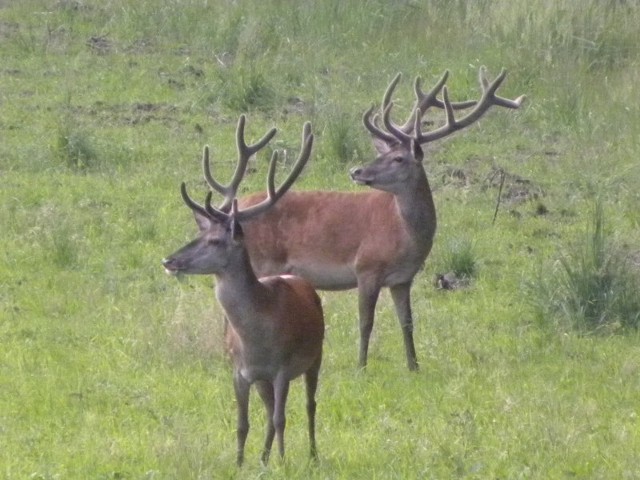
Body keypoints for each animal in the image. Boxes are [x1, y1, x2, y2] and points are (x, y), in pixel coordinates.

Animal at [160, 120, 322, 464]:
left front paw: (284, 462)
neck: (257, 339)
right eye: (199, 234)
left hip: (315, 356)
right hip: (263, 380)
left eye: (215, 241)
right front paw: (240, 463)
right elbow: (243, 423)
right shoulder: (240, 371)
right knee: (270, 411)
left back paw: (312, 455)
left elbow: (282, 417)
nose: (169, 260)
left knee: (309, 405)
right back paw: (263, 459)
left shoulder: (282, 368)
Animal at [204, 66, 524, 372]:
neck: (405, 236)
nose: (357, 171)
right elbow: (366, 322)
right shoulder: (367, 267)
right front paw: (361, 366)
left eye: (398, 158)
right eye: (383, 154)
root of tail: (231, 210)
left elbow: (407, 322)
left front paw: (414, 366)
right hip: (263, 260)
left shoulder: (403, 278)